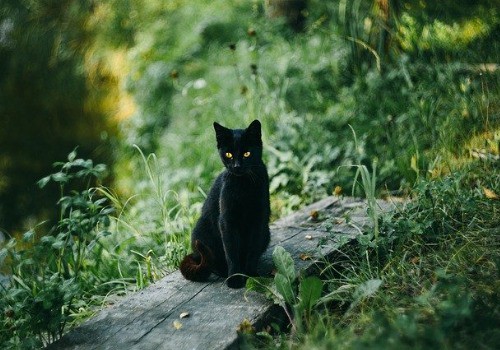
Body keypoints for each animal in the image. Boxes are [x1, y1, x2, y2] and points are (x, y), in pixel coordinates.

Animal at [181, 119, 270, 288]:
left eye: (247, 153)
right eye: (228, 154)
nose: (236, 166)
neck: (243, 186)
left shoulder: (258, 219)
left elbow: (253, 250)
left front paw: (252, 275)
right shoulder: (227, 221)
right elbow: (231, 252)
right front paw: (235, 278)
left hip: (267, 233)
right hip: (201, 232)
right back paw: (224, 272)